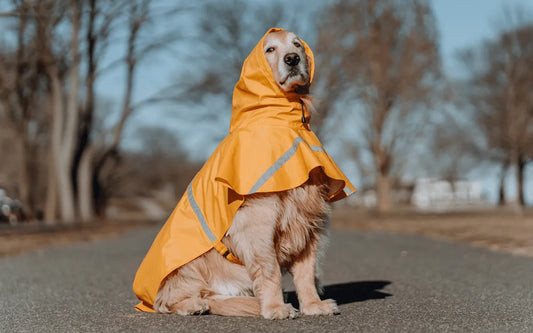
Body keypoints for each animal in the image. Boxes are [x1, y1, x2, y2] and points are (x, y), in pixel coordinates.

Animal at [152, 29, 338, 318]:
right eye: (270, 49)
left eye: (297, 44)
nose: (292, 59)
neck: (282, 124)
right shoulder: (257, 223)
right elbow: (271, 271)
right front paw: (276, 308)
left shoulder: (309, 222)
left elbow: (307, 273)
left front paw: (313, 305)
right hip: (189, 262)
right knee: (166, 301)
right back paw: (193, 305)